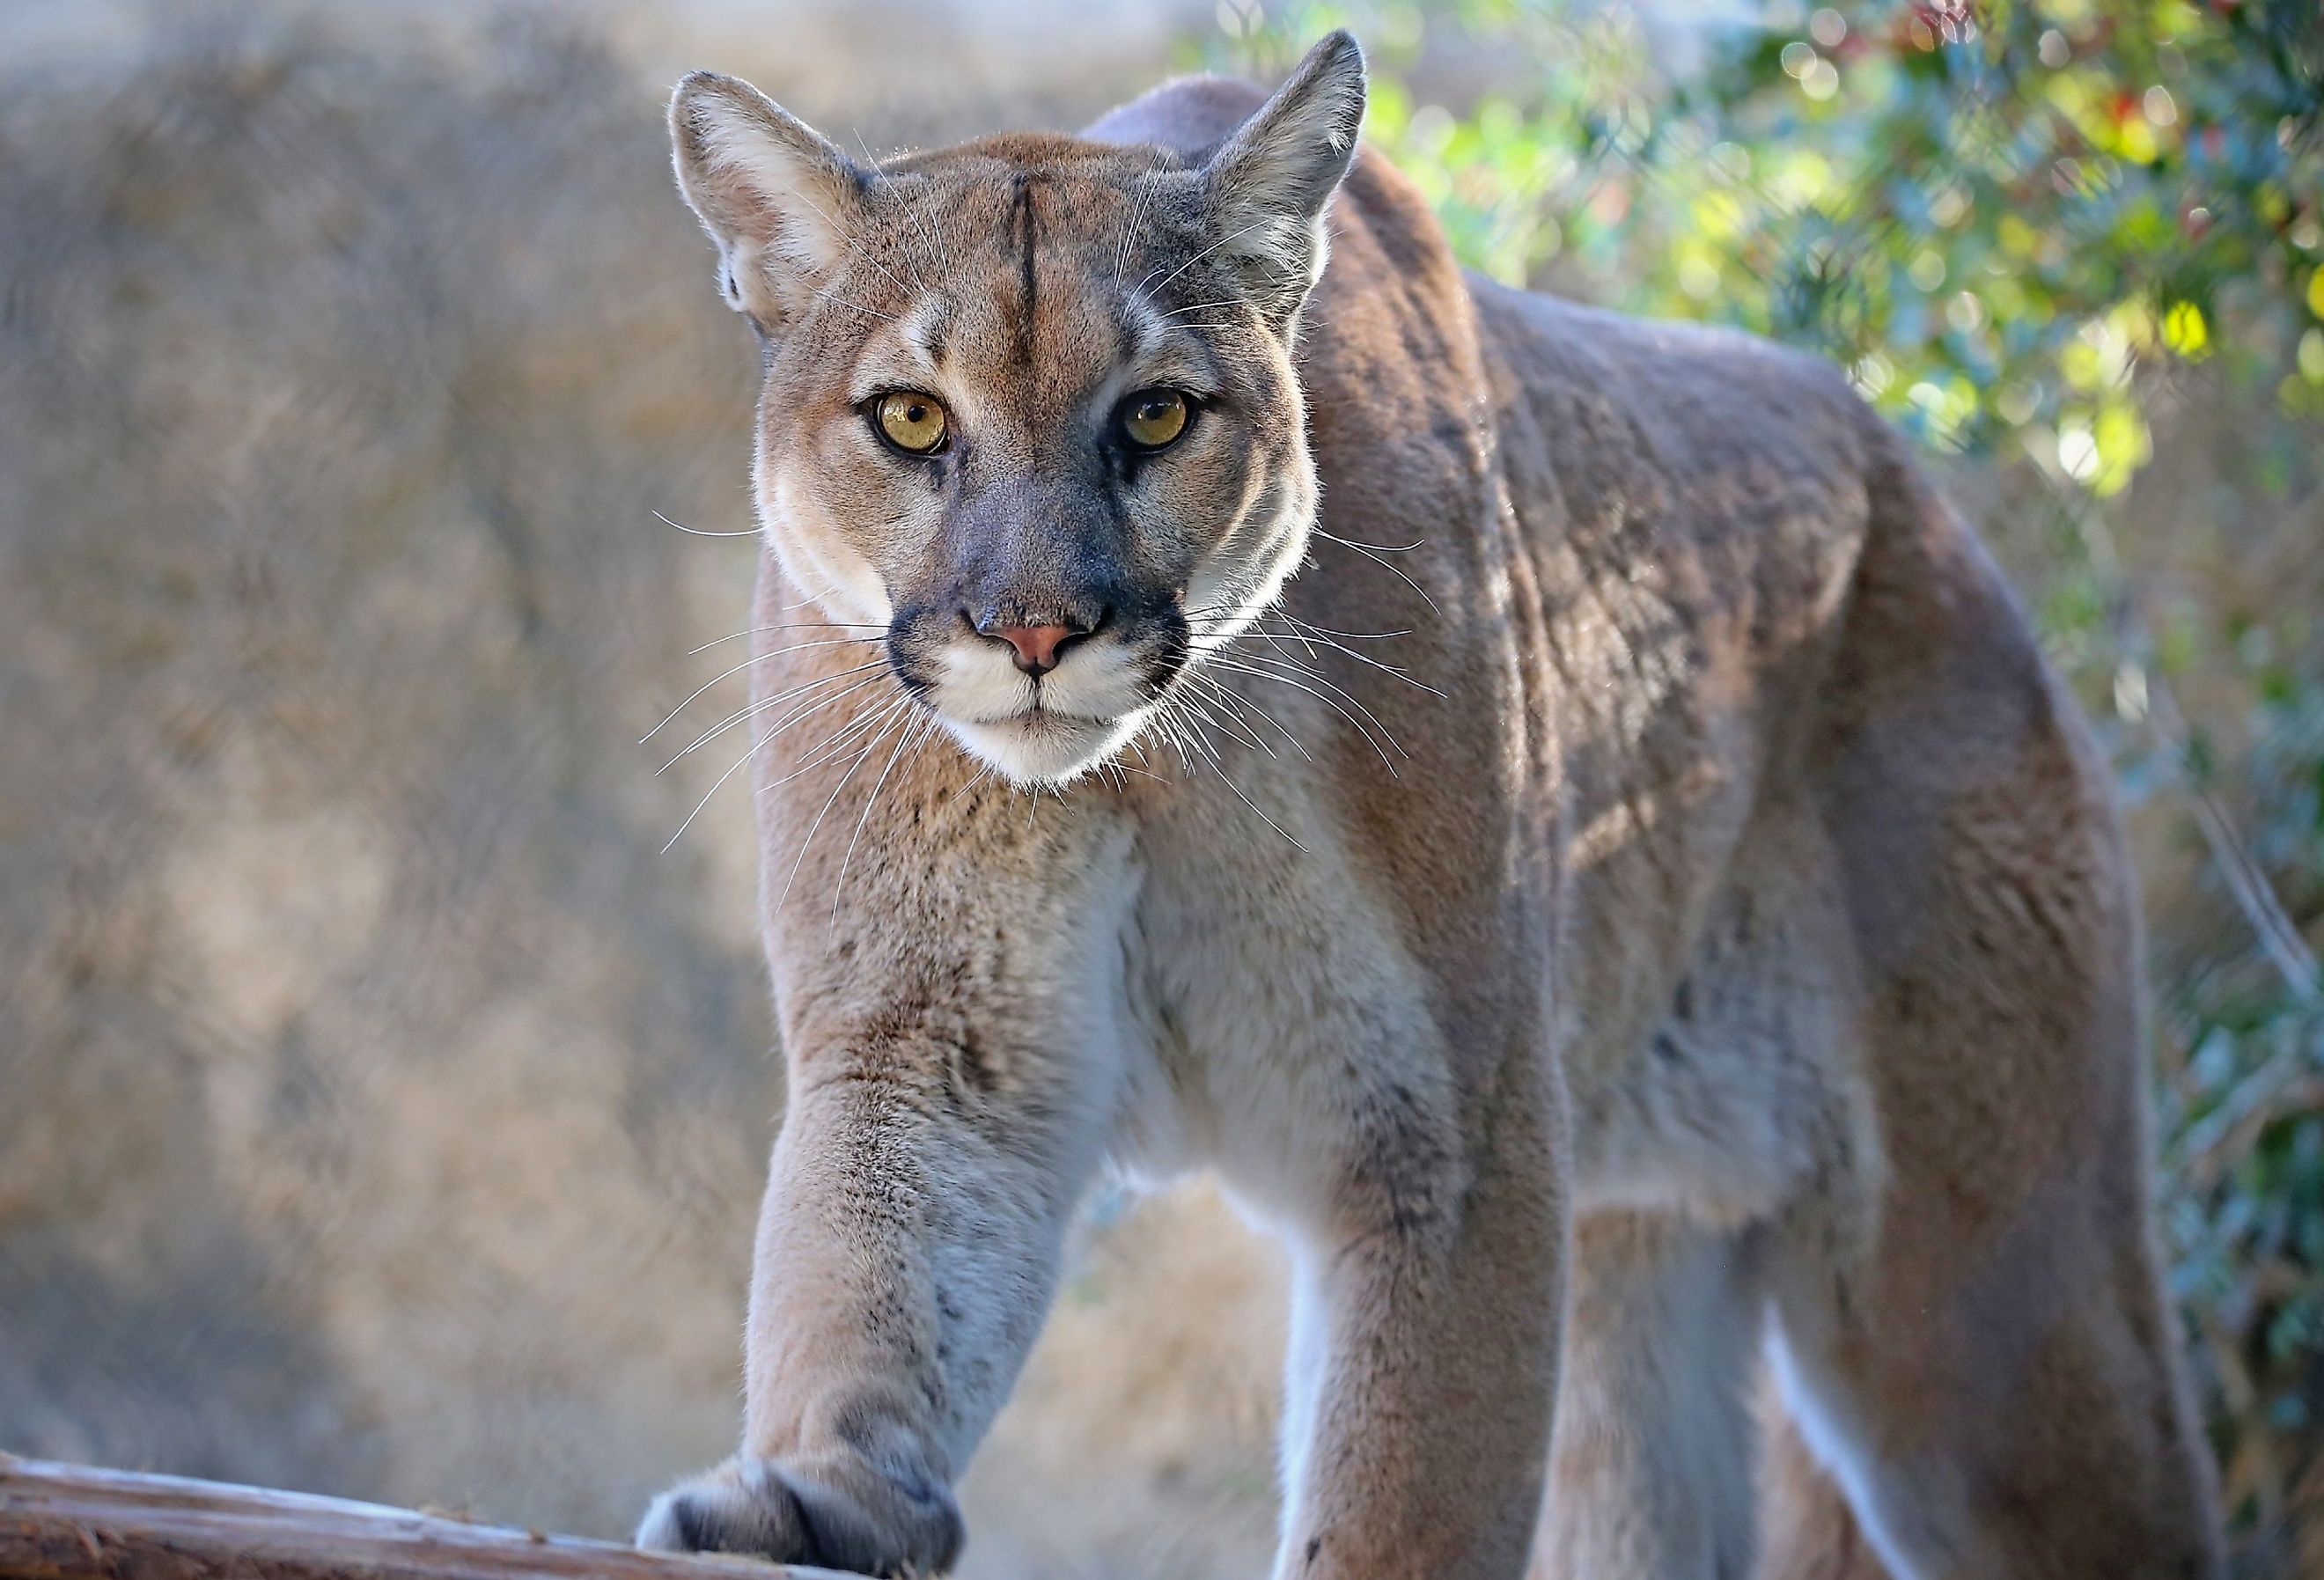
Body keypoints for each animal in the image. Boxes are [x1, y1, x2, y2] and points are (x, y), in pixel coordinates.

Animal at [632, 33, 2212, 1580]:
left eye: (1157, 413)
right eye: (911, 417)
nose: (1033, 631)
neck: (1149, 769)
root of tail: (1929, 509)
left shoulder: (1451, 1126)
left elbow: (1406, 1489)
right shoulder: (939, 1034)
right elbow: (873, 1263)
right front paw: (813, 1491)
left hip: (1990, 1314)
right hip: (1640, 1284)